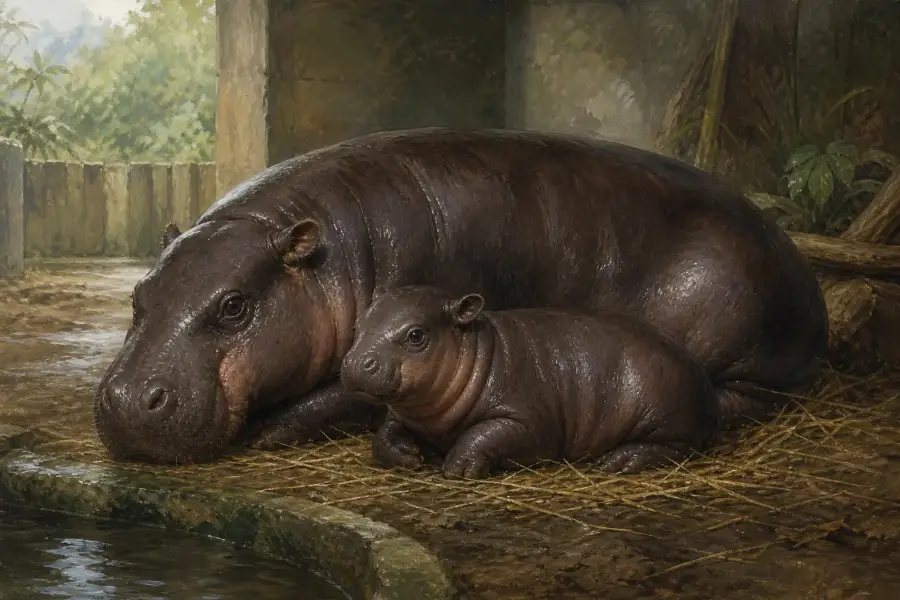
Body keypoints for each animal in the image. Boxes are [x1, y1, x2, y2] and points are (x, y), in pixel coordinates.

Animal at [340, 286, 720, 478]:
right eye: (360, 323)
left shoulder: (528, 420)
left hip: (665, 415)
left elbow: (484, 434)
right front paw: (408, 456)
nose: (356, 362)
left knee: (673, 449)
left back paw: (618, 462)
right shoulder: (405, 415)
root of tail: (699, 371)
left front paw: (458, 468)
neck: (480, 351)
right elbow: (383, 435)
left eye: (416, 335)